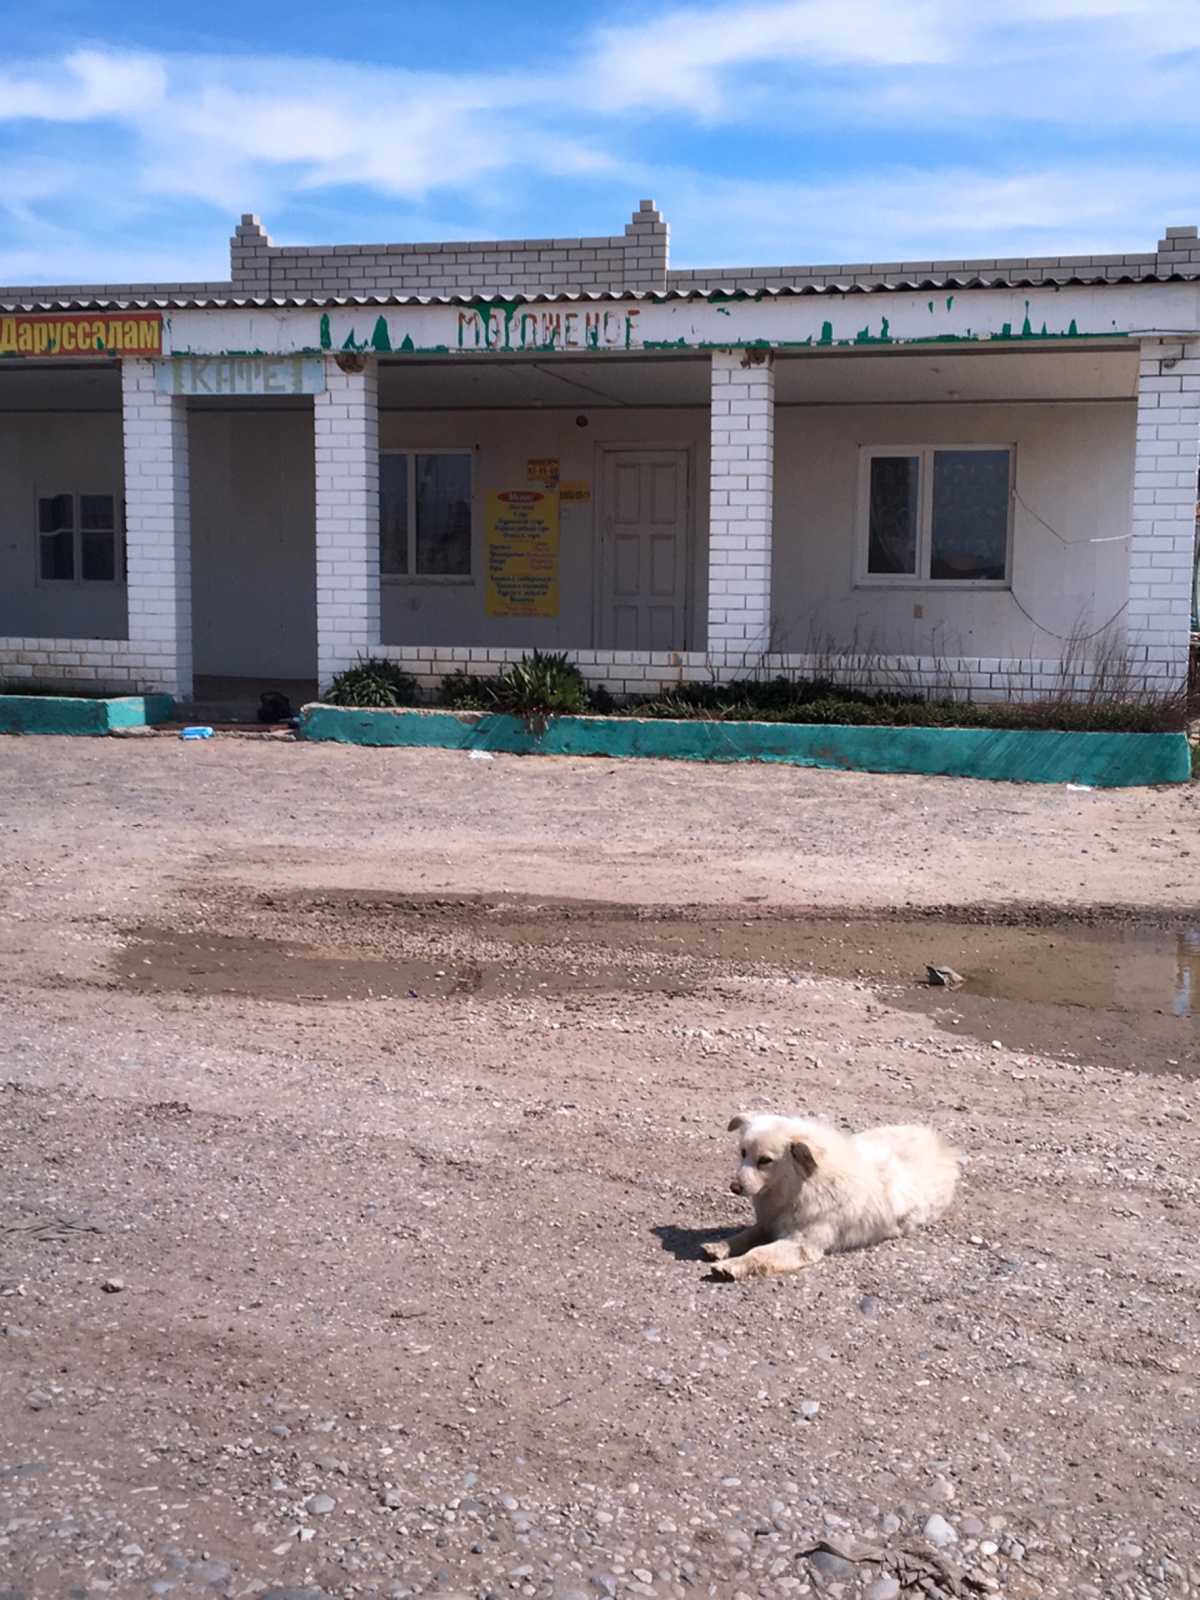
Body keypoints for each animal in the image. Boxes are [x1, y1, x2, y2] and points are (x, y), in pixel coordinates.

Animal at [701, 1113, 958, 1280]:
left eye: (765, 1160)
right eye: (743, 1153)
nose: (734, 1187)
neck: (802, 1186)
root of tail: (940, 1144)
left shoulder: (801, 1244)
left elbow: (758, 1252)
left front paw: (732, 1265)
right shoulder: (768, 1223)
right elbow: (745, 1235)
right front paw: (720, 1247)